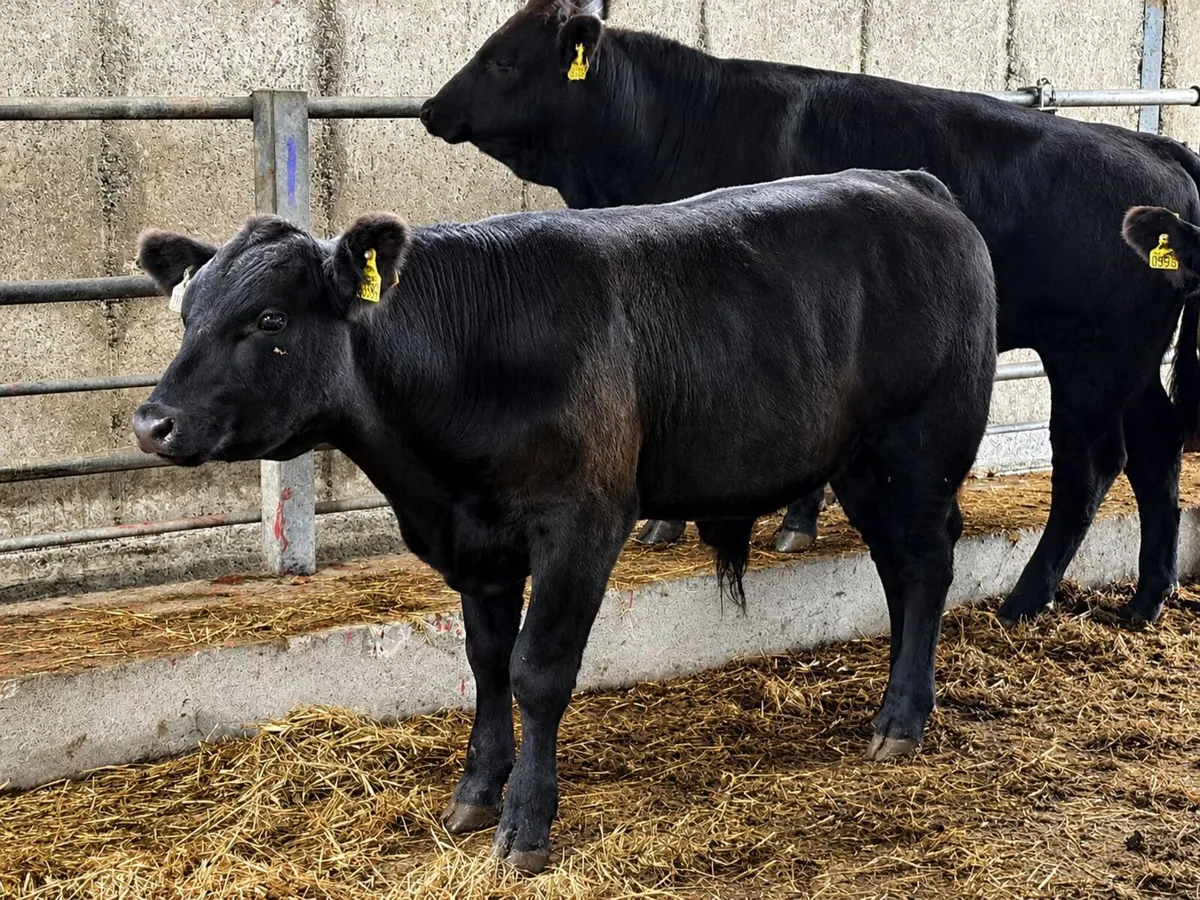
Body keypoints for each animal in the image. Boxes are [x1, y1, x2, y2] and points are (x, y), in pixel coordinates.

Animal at [132, 170, 996, 873]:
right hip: (865, 464)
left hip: (917, 447)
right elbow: (485, 663)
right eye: (187, 314)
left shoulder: (582, 524)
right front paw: (475, 793)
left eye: (271, 319)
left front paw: (525, 827)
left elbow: (536, 671)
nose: (151, 423)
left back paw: (902, 719)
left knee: (926, 565)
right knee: (900, 570)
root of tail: (913, 185)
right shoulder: (474, 542)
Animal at [421, 0, 1200, 629]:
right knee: (1155, 449)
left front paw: (788, 522)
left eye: (503, 58)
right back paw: (1145, 599)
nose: (431, 108)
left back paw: (1026, 600)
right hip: (1131, 361)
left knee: (1088, 468)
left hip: (1092, 358)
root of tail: (1150, 142)